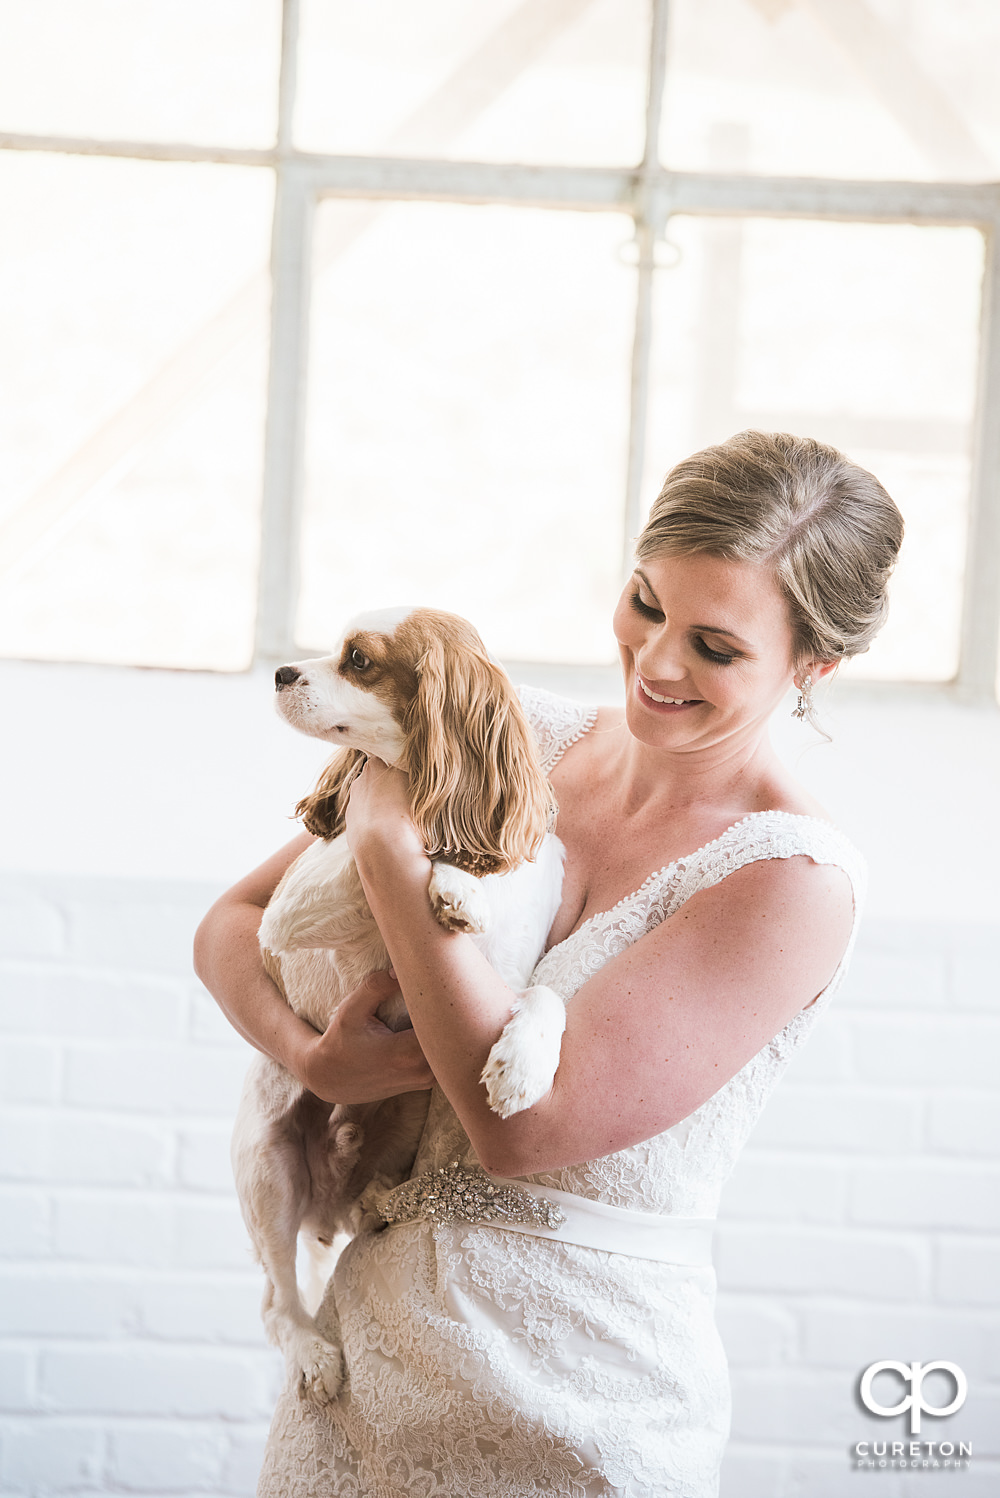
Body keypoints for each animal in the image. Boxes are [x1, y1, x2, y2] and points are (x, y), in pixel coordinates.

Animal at [229, 602, 565, 1396]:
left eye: (358, 660)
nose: (281, 671)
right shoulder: (288, 912)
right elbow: (372, 848)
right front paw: (452, 878)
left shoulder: (511, 978)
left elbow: (547, 997)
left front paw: (522, 1067)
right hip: (267, 1168)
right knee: (276, 1303)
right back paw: (312, 1352)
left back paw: (378, 1199)